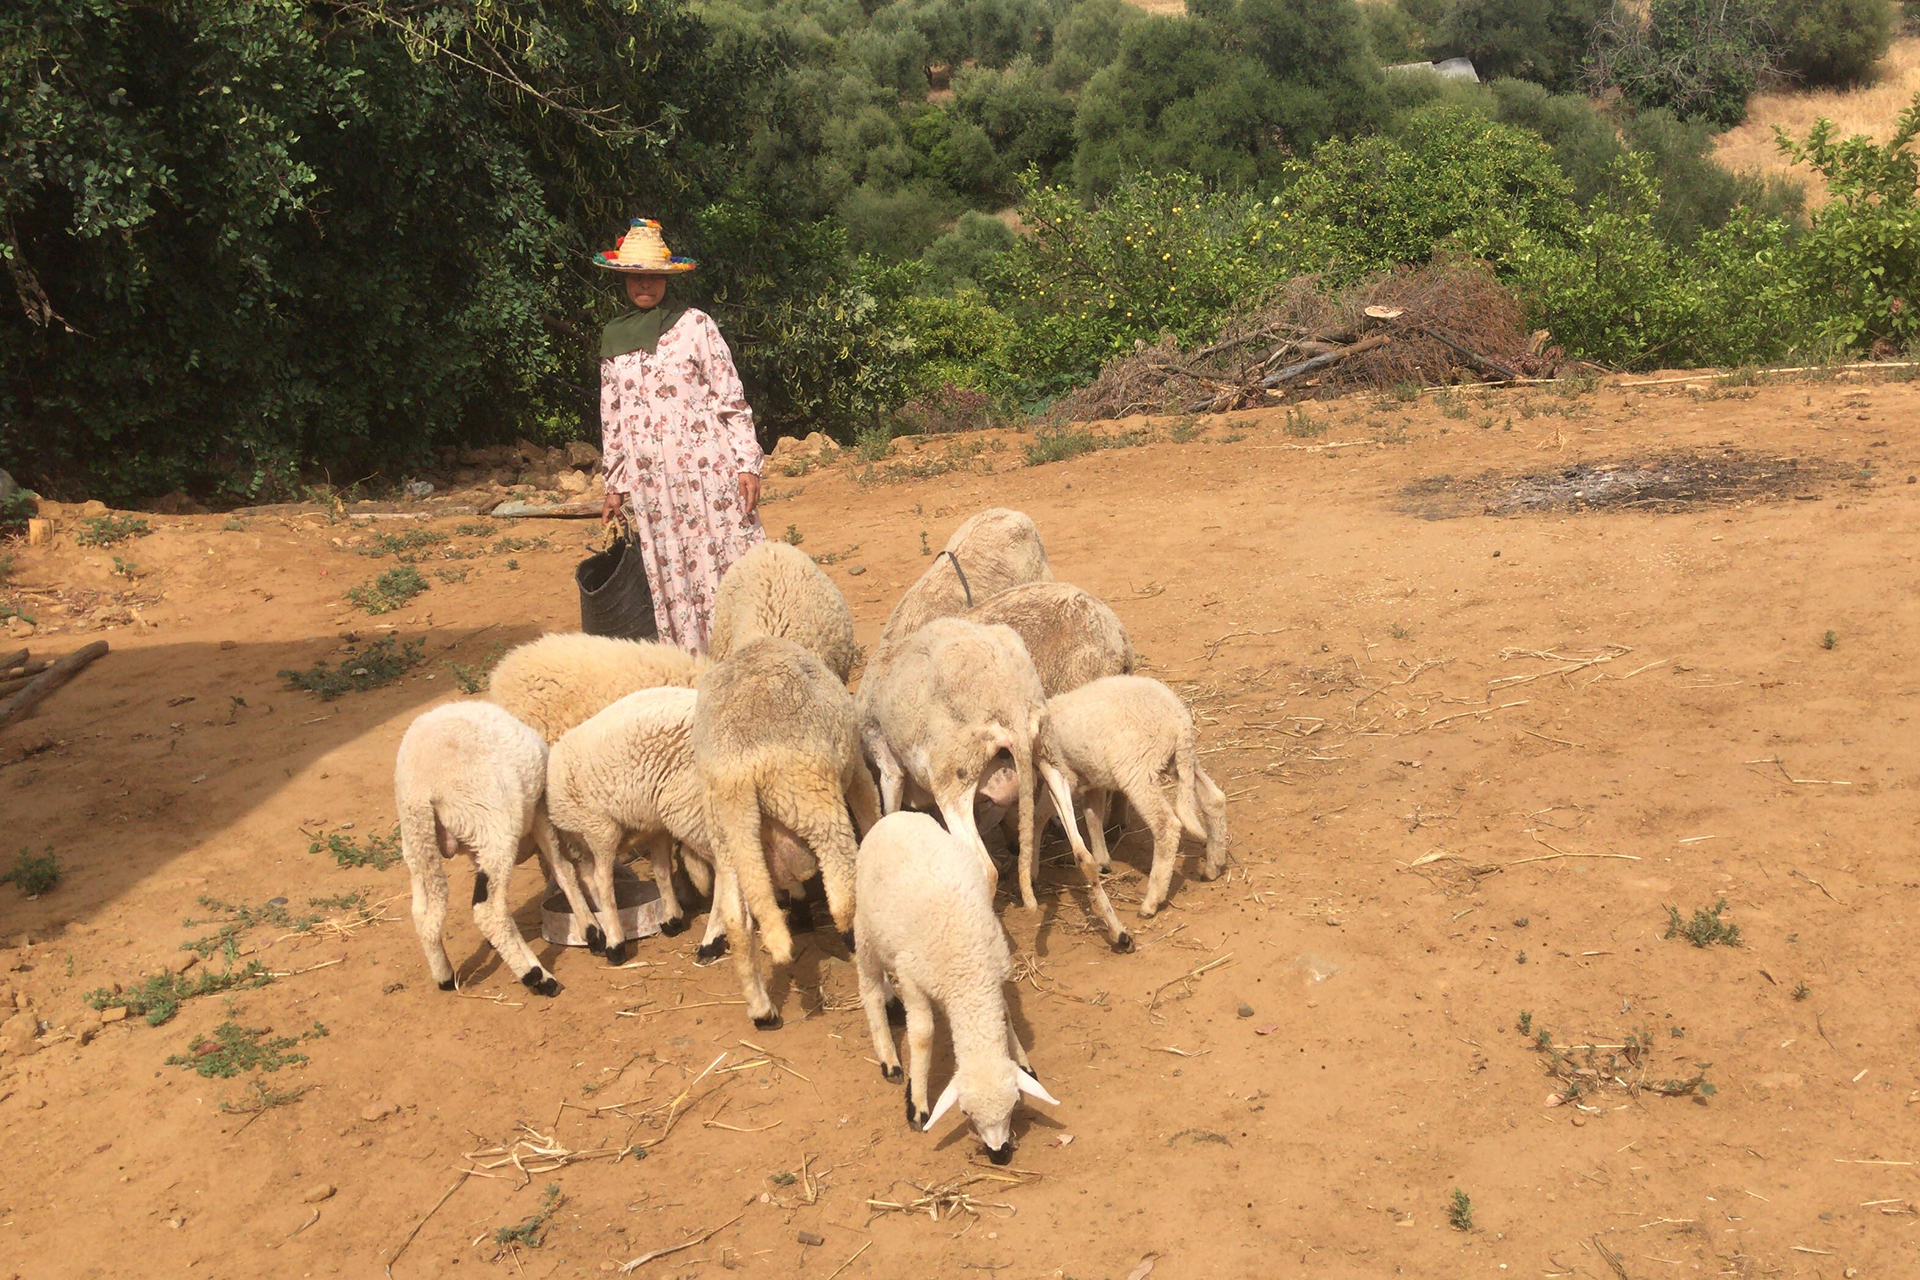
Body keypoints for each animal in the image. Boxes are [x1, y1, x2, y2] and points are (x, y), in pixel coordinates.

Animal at [393, 701, 596, 996]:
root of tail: (422, 786)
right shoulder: (540, 810)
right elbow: (563, 869)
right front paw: (591, 928)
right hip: (493, 827)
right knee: (488, 911)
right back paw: (537, 977)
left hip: (418, 841)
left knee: (426, 913)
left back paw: (445, 976)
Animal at [693, 636, 883, 1028]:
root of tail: (736, 771)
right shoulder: (856, 766)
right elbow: (870, 808)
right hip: (811, 799)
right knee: (844, 901)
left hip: (727, 832)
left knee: (737, 919)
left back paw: (761, 1010)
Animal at [854, 811, 1058, 1163]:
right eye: (965, 1113)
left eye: (1013, 1107)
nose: (999, 1154)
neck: (968, 976)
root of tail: (895, 816)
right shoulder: (913, 981)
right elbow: (922, 1036)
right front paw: (917, 1103)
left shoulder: (994, 974)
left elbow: (1005, 1016)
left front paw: (1023, 1061)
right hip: (865, 930)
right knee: (869, 987)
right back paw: (889, 1057)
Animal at [860, 617, 1133, 951]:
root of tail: (1009, 701)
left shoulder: (886, 760)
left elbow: (890, 808)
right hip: (1048, 753)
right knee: (1084, 856)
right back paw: (1119, 932)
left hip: (954, 777)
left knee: (984, 869)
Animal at [1034, 676, 1229, 917]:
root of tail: (1180, 720)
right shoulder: (1093, 776)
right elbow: (1092, 815)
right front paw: (1101, 860)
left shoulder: (1065, 774)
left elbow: (1038, 815)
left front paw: (1031, 870)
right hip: (1181, 760)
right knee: (1214, 799)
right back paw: (1214, 866)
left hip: (1137, 769)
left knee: (1167, 825)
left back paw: (1151, 902)